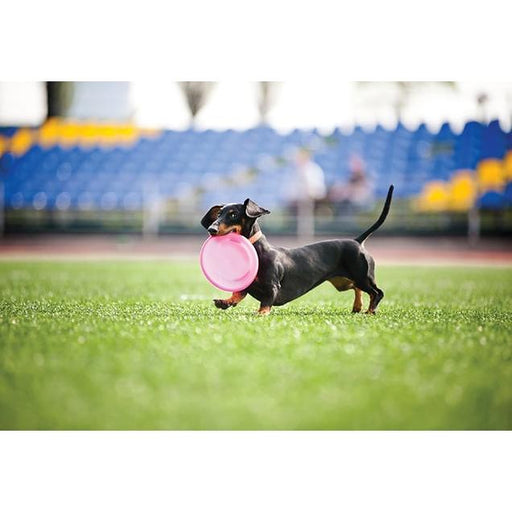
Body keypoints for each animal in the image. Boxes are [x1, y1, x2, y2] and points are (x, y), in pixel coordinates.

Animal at [201, 185, 394, 316]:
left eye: (233, 214)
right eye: (219, 214)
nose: (211, 229)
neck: (258, 250)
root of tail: (357, 241)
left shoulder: (272, 286)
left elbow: (266, 301)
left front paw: (261, 313)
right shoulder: (246, 285)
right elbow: (238, 294)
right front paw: (225, 301)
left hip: (363, 276)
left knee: (377, 293)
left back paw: (370, 311)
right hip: (345, 282)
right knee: (357, 289)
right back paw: (357, 307)